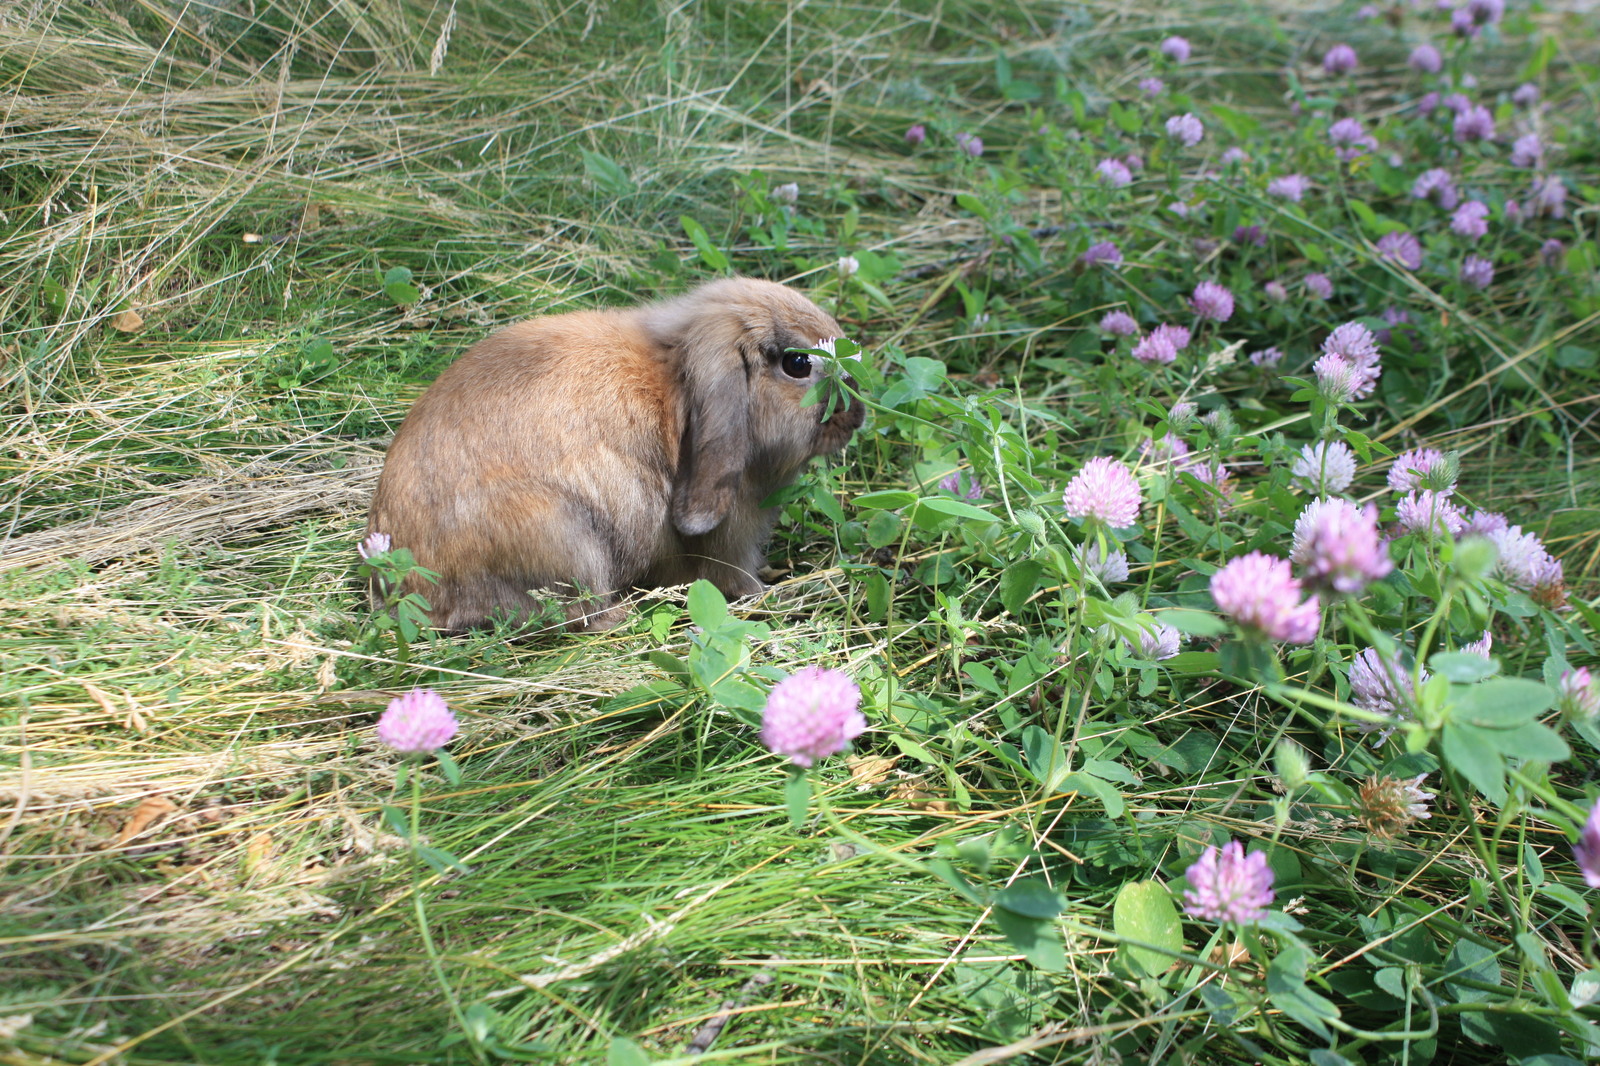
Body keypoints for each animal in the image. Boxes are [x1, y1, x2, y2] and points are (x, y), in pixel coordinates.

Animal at [364, 275, 864, 630]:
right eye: (797, 364)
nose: (857, 416)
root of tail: (415, 592)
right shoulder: (731, 533)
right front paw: (770, 594)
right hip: (563, 536)